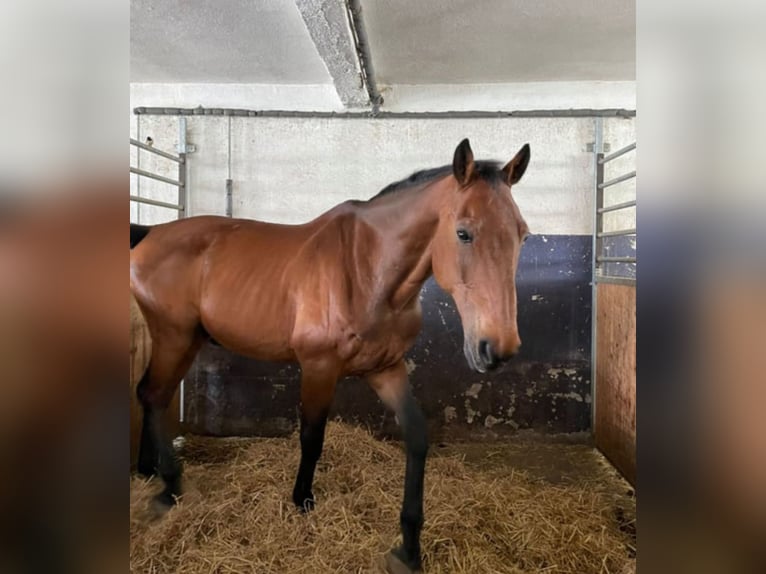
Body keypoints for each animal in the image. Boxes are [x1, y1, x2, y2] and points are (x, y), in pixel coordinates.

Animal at [130, 141, 528, 574]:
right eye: (463, 233)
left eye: (523, 235)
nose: (497, 348)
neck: (367, 271)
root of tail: (150, 234)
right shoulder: (318, 367)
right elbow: (312, 436)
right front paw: (302, 500)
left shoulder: (387, 369)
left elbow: (417, 436)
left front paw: (408, 546)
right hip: (174, 337)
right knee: (153, 394)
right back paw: (169, 486)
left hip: (183, 342)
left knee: (153, 395)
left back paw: (148, 471)